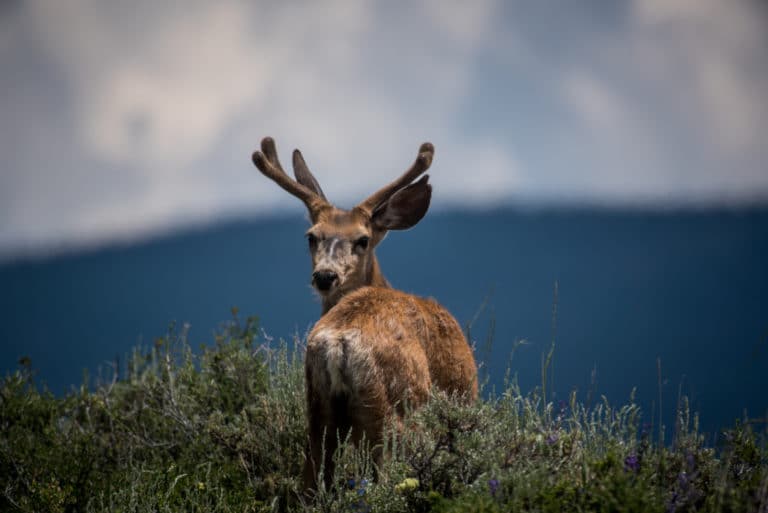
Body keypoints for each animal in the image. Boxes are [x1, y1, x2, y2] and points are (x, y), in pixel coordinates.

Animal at [251, 137, 478, 493]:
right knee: (386, 480)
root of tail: (338, 344)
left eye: (362, 239)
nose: (325, 276)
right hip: (395, 410)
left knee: (310, 483)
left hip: (318, 410)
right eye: (312, 236)